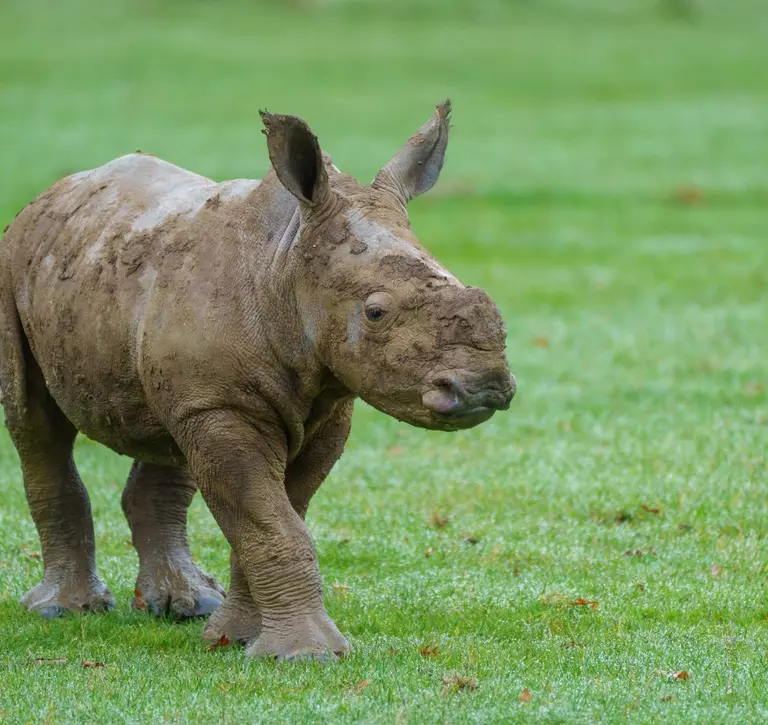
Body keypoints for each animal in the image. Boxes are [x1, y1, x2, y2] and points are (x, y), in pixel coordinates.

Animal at [3, 103, 516, 660]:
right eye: (375, 313)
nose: (484, 386)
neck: (285, 265)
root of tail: (53, 193)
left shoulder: (320, 409)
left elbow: (277, 516)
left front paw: (235, 638)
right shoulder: (221, 404)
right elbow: (270, 523)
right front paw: (306, 655)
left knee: (167, 434)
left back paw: (185, 605)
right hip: (15, 262)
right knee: (36, 426)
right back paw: (63, 610)